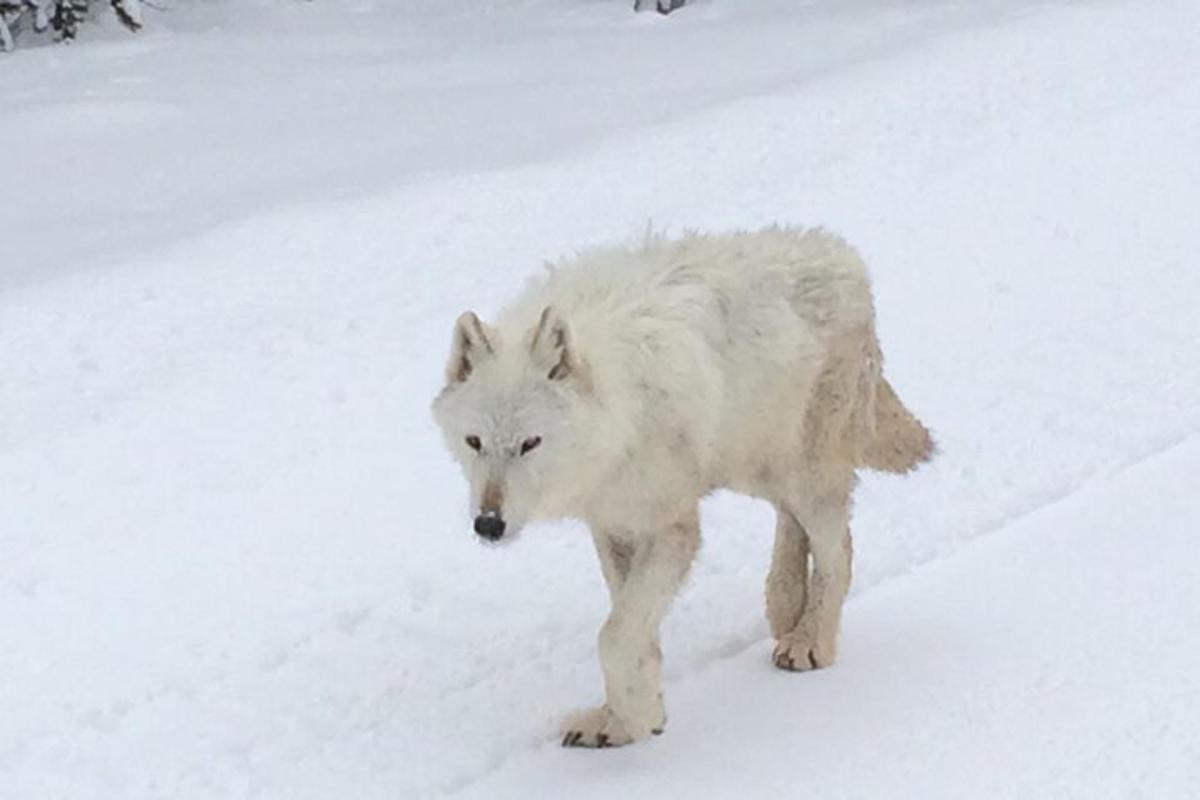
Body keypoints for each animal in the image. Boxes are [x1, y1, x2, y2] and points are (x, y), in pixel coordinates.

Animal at [434, 226, 936, 753]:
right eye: (474, 442)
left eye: (530, 443)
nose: (488, 524)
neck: (618, 414)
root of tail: (846, 255)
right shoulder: (612, 526)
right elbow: (633, 629)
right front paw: (626, 717)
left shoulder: (671, 529)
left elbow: (614, 636)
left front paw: (634, 718)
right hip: (759, 469)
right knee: (793, 523)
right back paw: (784, 608)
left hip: (804, 475)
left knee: (840, 549)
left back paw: (809, 641)